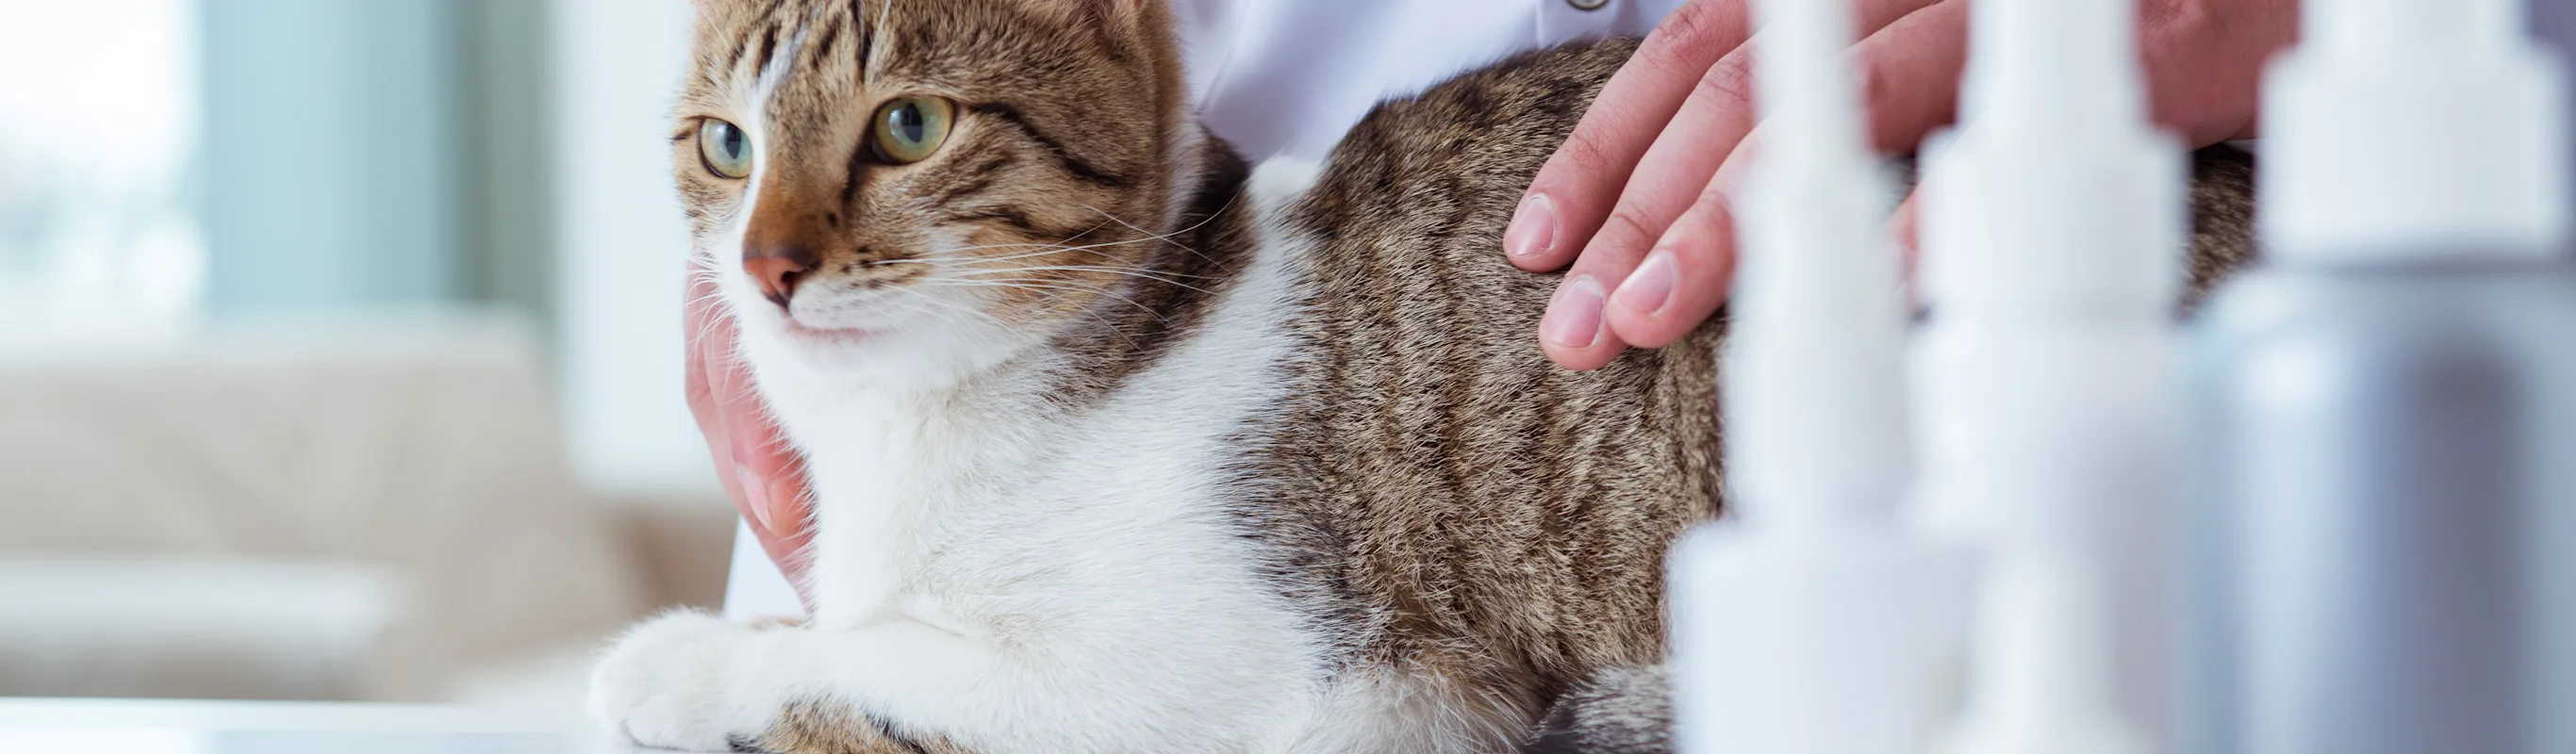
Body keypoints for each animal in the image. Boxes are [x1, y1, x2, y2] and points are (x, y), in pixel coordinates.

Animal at [589, 1, 2256, 751]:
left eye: (910, 128)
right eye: (725, 147)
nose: (767, 268)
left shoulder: (1219, 674)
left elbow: (886, 648)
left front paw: (681, 660)